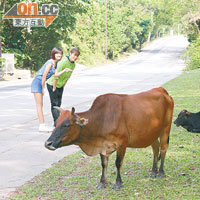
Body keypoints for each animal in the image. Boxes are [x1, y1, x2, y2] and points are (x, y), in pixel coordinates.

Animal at [45, 87, 173, 189]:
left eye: (66, 125)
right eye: (56, 123)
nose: (48, 143)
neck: (102, 119)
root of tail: (161, 90)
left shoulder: (122, 143)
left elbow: (118, 163)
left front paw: (118, 183)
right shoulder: (103, 146)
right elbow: (104, 164)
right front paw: (102, 183)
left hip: (165, 130)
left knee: (163, 149)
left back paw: (161, 172)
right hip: (152, 134)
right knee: (155, 149)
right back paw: (153, 172)